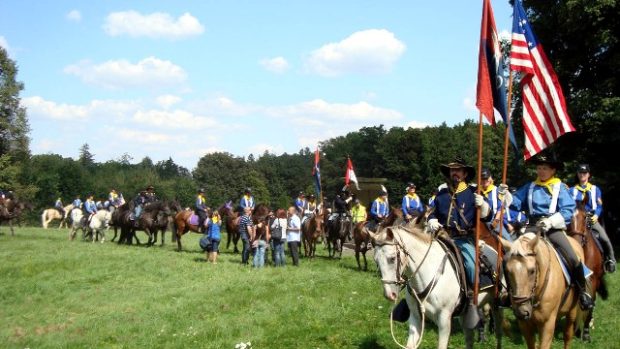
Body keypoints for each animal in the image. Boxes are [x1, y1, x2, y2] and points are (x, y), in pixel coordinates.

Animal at [368, 224, 504, 346]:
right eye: (376, 261)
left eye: (392, 258)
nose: (389, 294)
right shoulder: (416, 318)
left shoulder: (444, 320)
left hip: (496, 305)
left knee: (498, 333)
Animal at [568, 190, 608, 340]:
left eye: (585, 217)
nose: (577, 241)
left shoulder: (594, 279)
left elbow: (592, 302)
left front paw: (585, 333)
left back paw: (590, 323)